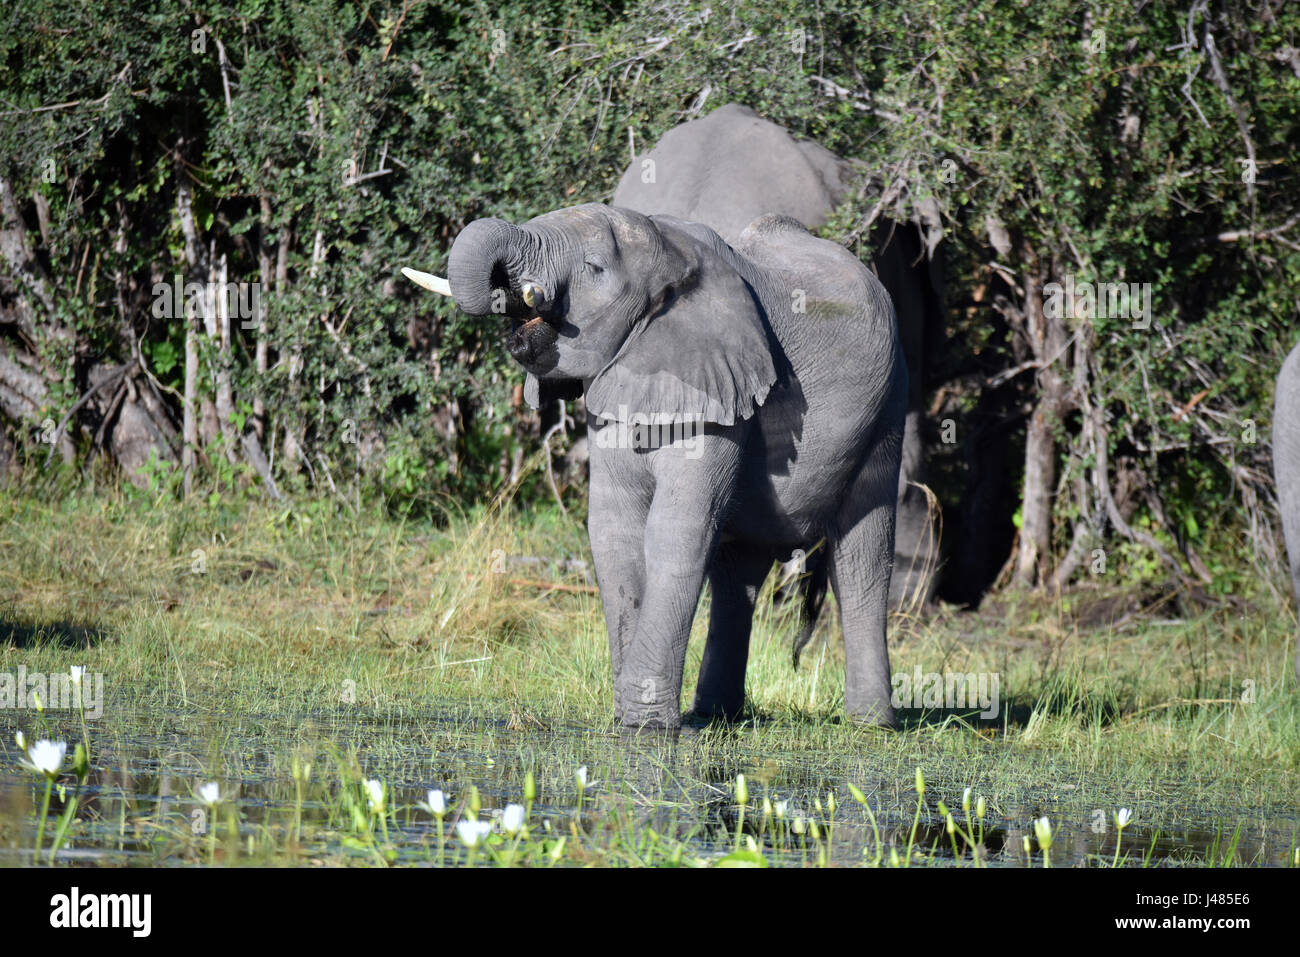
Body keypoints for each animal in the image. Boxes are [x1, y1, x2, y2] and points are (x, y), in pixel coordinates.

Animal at [405, 205, 904, 733]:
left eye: (594, 267)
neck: (673, 253)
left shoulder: (716, 390)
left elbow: (676, 529)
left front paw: (646, 726)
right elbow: (614, 528)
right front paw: (630, 717)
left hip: (890, 406)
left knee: (863, 555)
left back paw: (871, 723)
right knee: (738, 570)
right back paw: (715, 715)